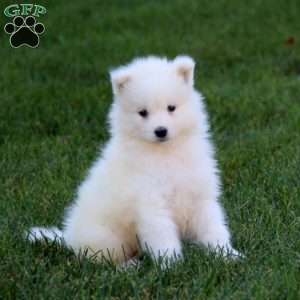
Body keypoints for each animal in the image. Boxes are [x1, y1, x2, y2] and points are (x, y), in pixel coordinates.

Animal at [29, 55, 240, 264]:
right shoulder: (151, 204)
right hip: (106, 238)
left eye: (171, 108)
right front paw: (172, 264)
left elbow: (214, 228)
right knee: (105, 259)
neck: (166, 154)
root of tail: (68, 238)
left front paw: (228, 255)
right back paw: (129, 265)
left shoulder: (200, 197)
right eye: (143, 112)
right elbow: (163, 236)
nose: (161, 130)